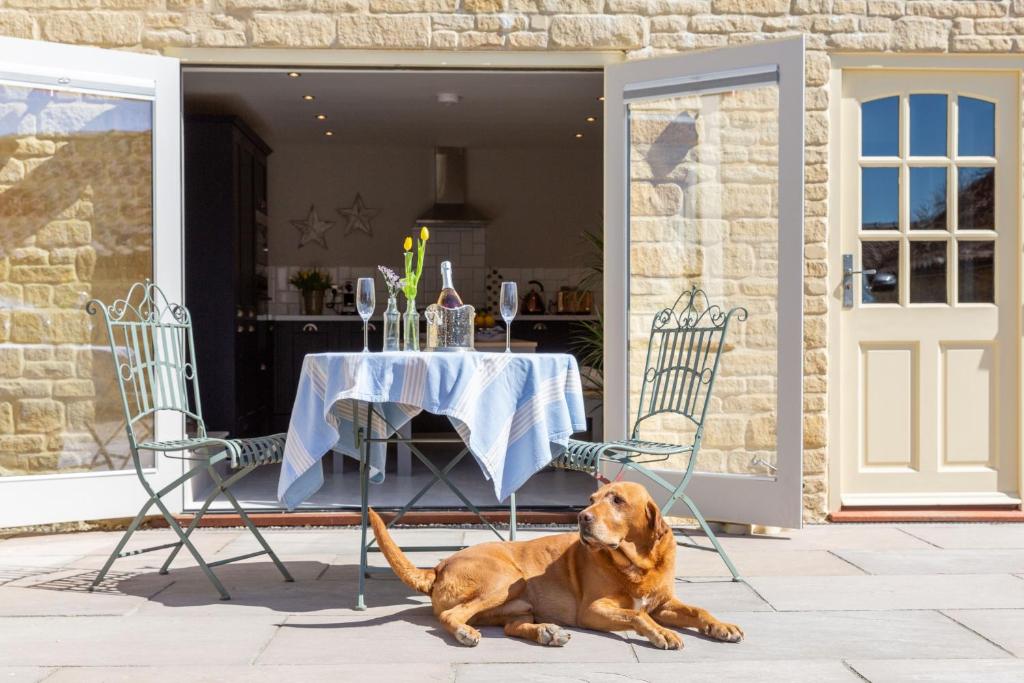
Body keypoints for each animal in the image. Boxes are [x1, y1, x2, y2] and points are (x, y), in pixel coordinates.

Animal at [368, 479, 745, 651]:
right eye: (592, 499)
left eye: (618, 500)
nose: (581, 517)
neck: (638, 564)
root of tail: (439, 565)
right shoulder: (592, 610)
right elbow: (638, 616)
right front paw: (662, 633)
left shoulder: (664, 603)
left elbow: (698, 610)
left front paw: (721, 626)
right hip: (507, 578)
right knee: (451, 616)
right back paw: (465, 632)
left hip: (516, 602)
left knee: (510, 626)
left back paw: (546, 632)